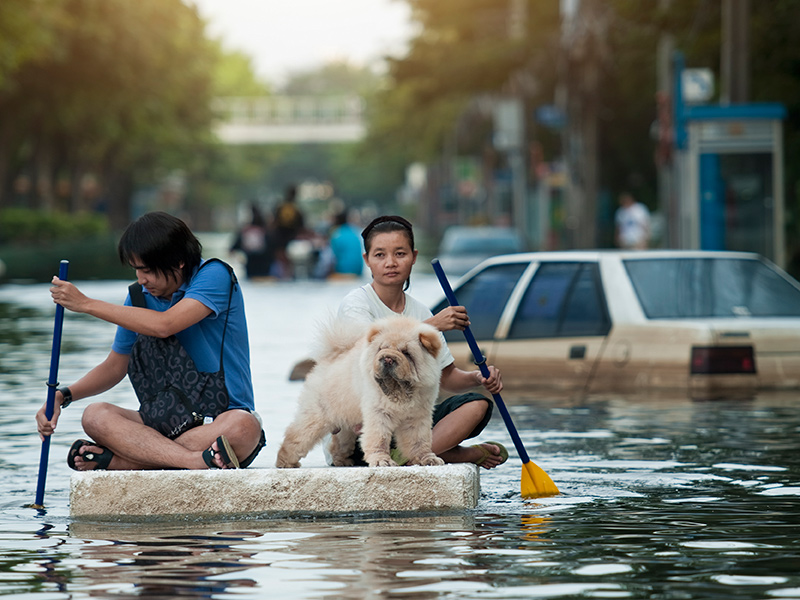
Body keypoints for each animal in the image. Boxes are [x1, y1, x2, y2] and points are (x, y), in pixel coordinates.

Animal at [276, 314, 446, 468]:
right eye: (382, 348)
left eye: (406, 353)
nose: (388, 358)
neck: (399, 391)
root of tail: (330, 358)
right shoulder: (378, 413)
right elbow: (379, 438)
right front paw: (382, 461)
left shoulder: (417, 416)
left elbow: (419, 440)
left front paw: (427, 459)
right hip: (315, 418)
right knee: (295, 437)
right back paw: (285, 463)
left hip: (345, 421)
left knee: (338, 443)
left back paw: (342, 461)